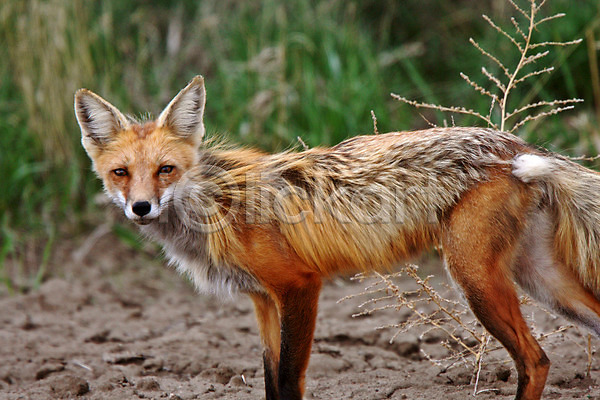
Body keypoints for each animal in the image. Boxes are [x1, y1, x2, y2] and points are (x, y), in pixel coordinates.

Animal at [75, 76, 600, 400]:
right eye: (121, 173)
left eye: (165, 169)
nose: (141, 208)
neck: (219, 203)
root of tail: (516, 145)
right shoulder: (263, 302)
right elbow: (270, 382)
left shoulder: (299, 287)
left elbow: (289, 382)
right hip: (541, 281)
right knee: (554, 350)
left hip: (476, 279)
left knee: (535, 360)